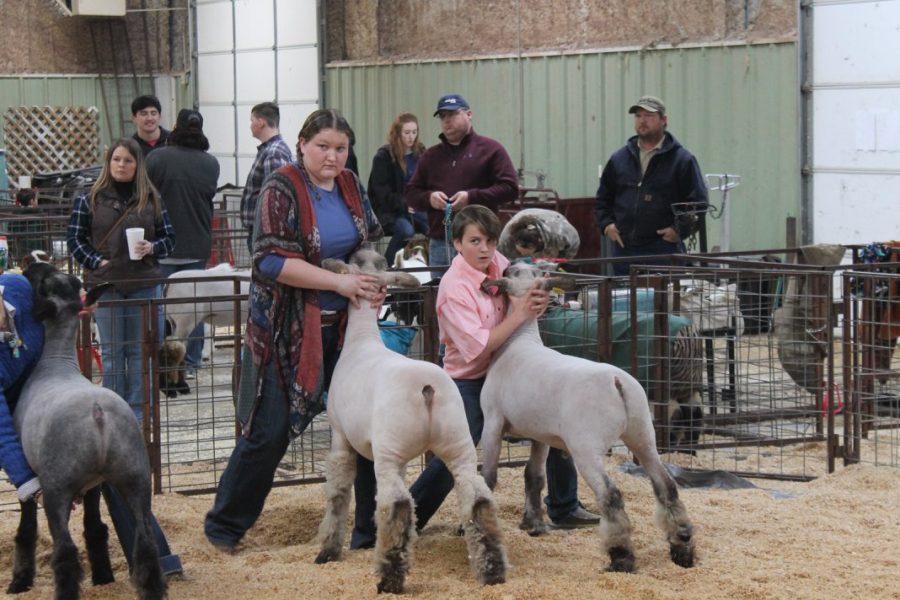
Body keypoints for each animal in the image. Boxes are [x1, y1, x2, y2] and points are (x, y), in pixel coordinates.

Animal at [10, 262, 166, 600]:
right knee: (146, 543)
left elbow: (27, 528)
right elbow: (95, 527)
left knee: (65, 551)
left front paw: (20, 582)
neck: (56, 362)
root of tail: (98, 415)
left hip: (56, 485)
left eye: (43, 282)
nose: (32, 265)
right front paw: (103, 578)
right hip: (135, 475)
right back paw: (150, 590)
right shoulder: (95, 483)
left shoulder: (32, 473)